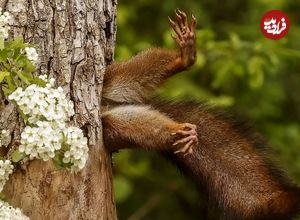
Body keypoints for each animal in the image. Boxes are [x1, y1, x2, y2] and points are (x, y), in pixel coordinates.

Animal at [101, 9, 300, 220]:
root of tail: (107, 105)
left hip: (111, 79)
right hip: (112, 126)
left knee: (131, 74)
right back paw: (180, 133)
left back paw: (184, 59)